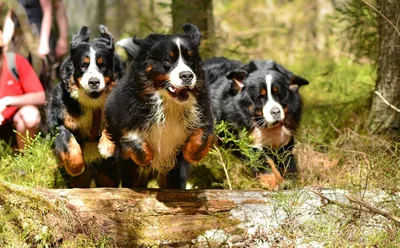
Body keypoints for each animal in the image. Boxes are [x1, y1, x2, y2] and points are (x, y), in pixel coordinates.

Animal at [46, 25, 123, 188]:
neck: (93, 105)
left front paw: (106, 146)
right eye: (83, 65)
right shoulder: (59, 119)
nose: (93, 82)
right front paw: (75, 166)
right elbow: (67, 139)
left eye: (102, 65)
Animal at [98, 23, 214, 190]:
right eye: (167, 60)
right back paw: (105, 147)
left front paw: (190, 152)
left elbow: (203, 136)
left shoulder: (204, 116)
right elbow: (134, 143)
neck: (169, 105)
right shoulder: (125, 118)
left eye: (190, 59)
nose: (187, 75)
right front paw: (148, 157)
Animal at [205, 57, 308, 190]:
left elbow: (286, 162)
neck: (267, 127)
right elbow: (264, 163)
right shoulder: (248, 140)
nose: (276, 112)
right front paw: (275, 182)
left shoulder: (285, 141)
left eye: (279, 95)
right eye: (260, 97)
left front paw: (289, 181)